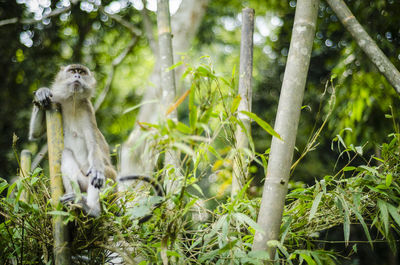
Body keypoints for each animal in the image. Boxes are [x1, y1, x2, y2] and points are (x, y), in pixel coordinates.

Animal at [28, 63, 116, 217]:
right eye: (72, 71)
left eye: (82, 72)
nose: (77, 76)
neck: (72, 101)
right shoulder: (56, 102)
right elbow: (35, 133)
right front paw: (41, 92)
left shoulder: (87, 110)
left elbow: (93, 145)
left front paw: (98, 171)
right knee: (66, 153)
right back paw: (73, 201)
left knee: (102, 173)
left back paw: (92, 210)